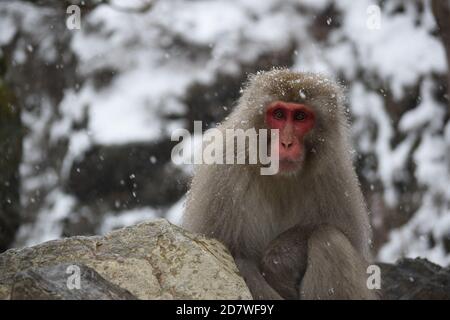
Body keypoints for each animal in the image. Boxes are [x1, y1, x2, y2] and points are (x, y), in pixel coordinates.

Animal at [182, 68, 376, 300]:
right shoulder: (223, 170)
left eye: (300, 117)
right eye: (279, 115)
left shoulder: (334, 171)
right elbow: (227, 250)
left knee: (329, 239)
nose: (286, 143)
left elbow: (346, 233)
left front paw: (278, 260)